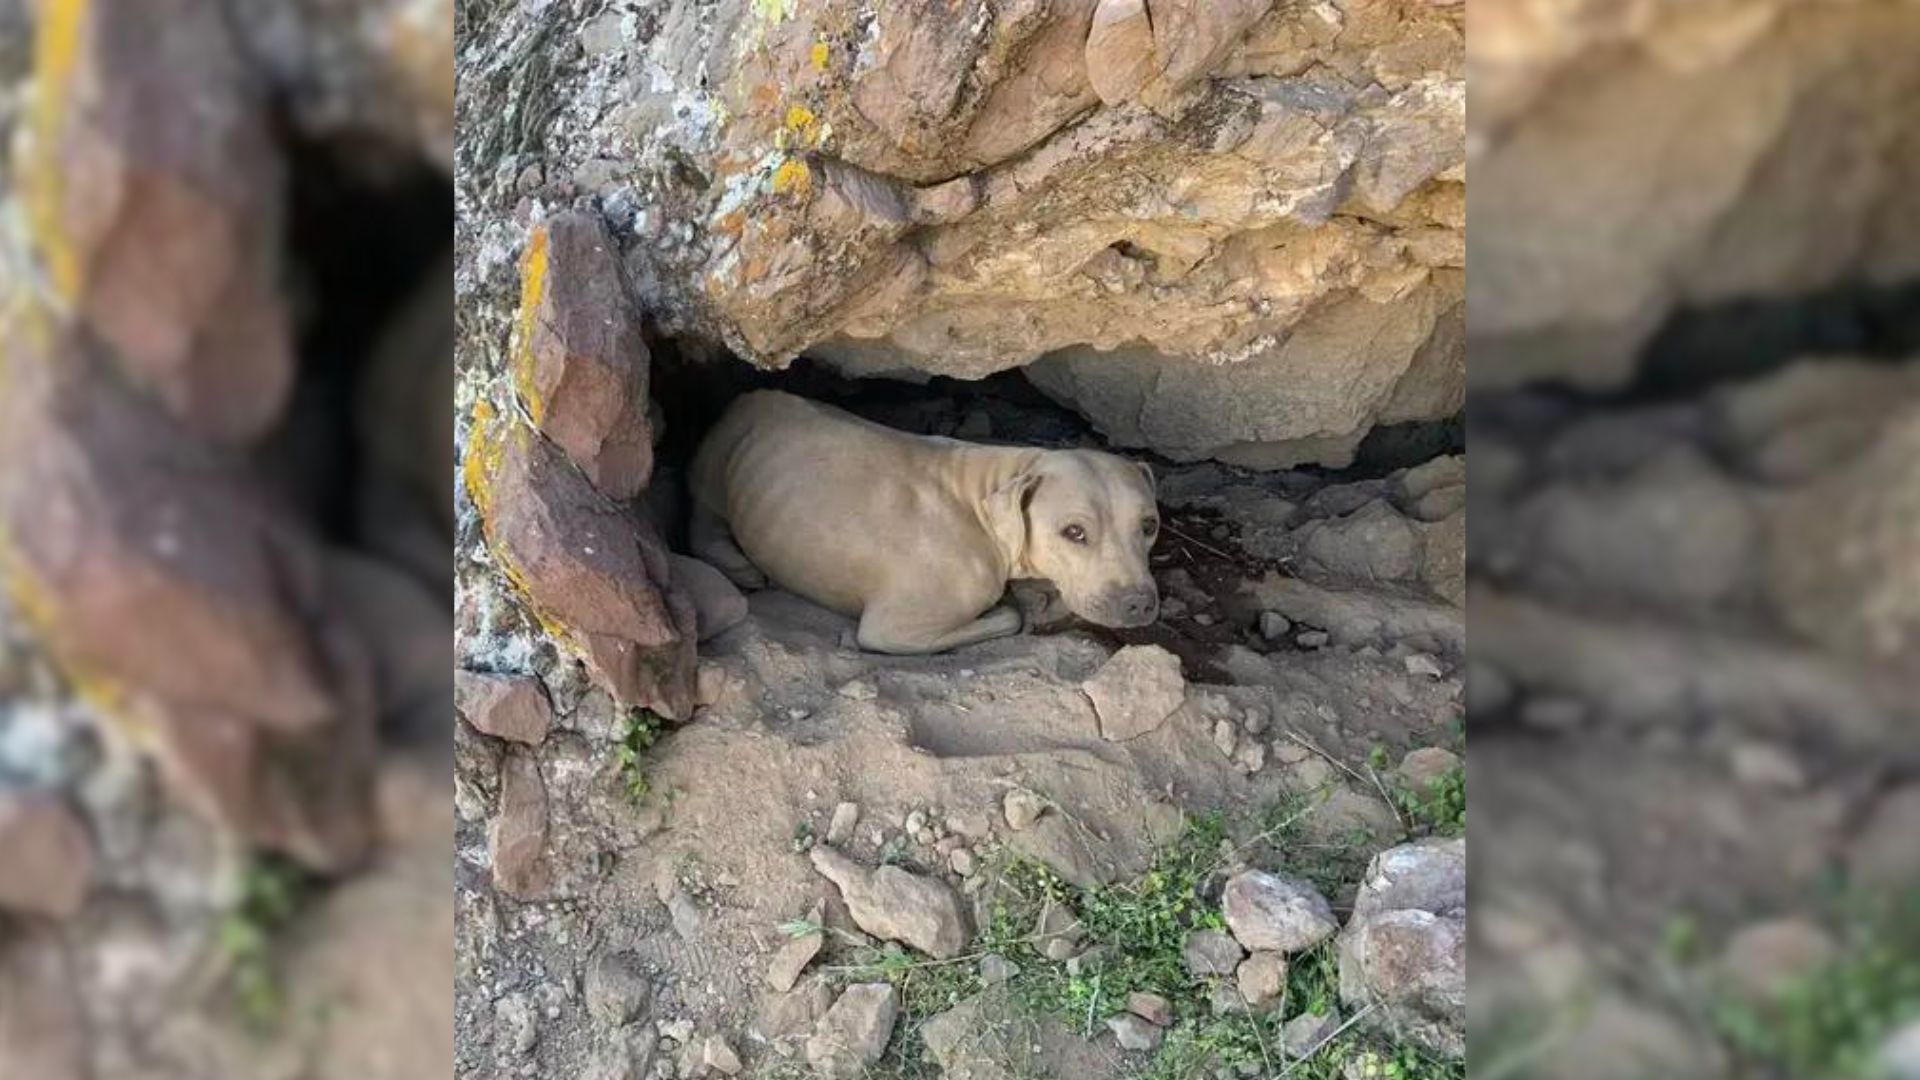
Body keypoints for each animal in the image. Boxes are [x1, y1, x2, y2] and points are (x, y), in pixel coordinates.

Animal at [691, 388, 1152, 653]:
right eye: (1074, 532)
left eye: (1150, 527)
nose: (1140, 602)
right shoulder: (892, 629)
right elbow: (1009, 617)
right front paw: (1010, 607)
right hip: (714, 469)